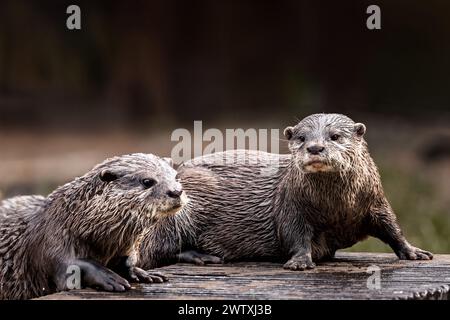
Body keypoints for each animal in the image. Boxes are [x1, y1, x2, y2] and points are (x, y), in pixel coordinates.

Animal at [0, 154, 186, 298]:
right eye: (147, 181)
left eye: (176, 177)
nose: (176, 191)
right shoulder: (51, 241)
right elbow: (70, 266)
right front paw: (109, 277)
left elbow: (127, 262)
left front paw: (143, 273)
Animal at [140, 114, 432, 268]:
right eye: (301, 138)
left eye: (335, 136)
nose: (315, 147)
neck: (337, 207)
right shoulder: (291, 204)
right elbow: (294, 233)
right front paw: (301, 261)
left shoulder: (375, 202)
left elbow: (391, 227)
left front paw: (414, 252)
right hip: (178, 212)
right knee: (158, 248)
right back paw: (204, 257)